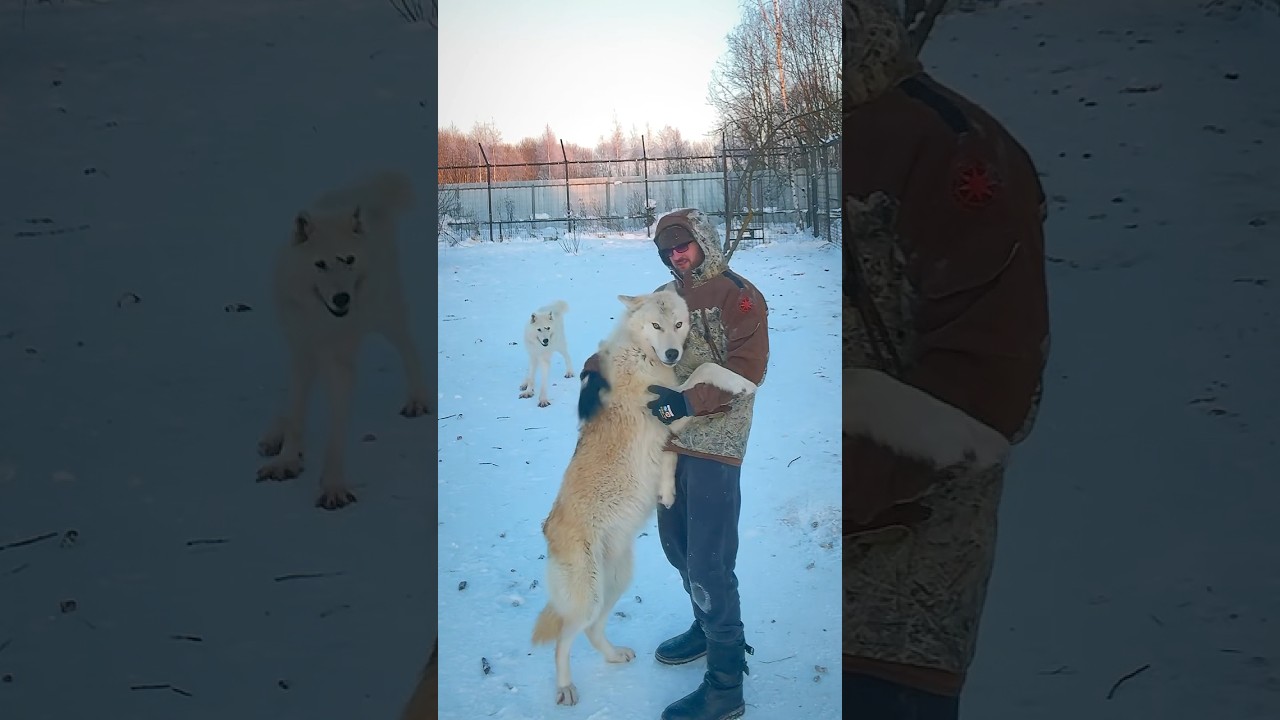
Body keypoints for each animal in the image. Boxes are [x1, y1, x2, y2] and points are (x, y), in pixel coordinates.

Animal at [255, 170, 432, 510]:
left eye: (348, 260)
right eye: (320, 264)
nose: (341, 298)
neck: (323, 321)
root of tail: (363, 196)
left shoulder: (339, 362)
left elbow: (336, 429)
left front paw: (333, 486)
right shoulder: (302, 349)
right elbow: (296, 412)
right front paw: (287, 460)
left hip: (385, 314)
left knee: (409, 348)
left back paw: (417, 399)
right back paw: (274, 436)